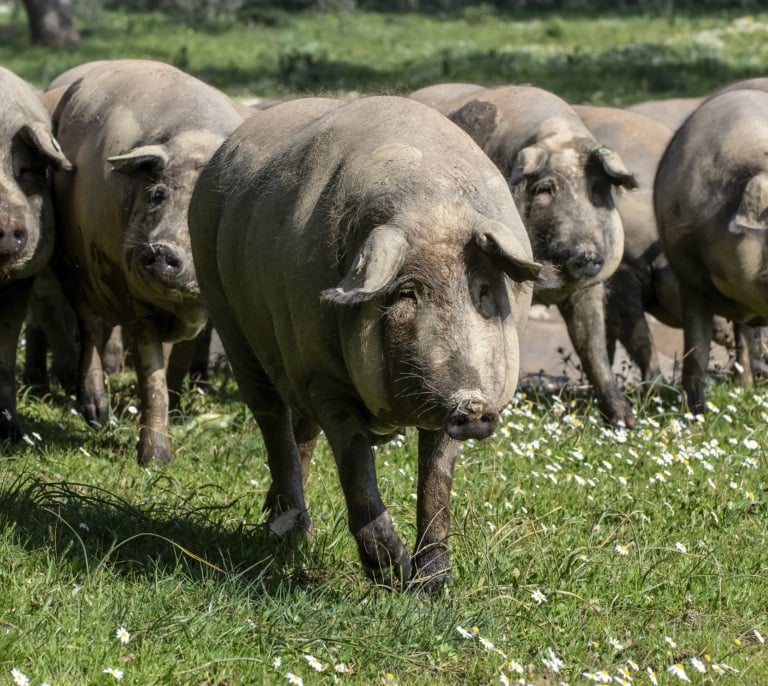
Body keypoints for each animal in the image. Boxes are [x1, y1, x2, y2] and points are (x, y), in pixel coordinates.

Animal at [44, 60, 246, 468]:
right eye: (157, 194)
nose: (161, 249)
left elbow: (172, 366)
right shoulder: (136, 303)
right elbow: (151, 381)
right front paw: (154, 462)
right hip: (72, 264)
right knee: (90, 327)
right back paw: (96, 415)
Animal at [188, 95, 544, 592]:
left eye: (482, 290)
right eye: (407, 293)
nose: (471, 405)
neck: (432, 202)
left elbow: (436, 481)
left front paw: (432, 587)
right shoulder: (326, 381)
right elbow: (356, 467)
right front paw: (393, 574)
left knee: (301, 433)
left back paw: (298, 535)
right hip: (230, 319)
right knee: (273, 423)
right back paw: (288, 530)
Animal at [412, 84, 640, 430]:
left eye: (596, 187)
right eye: (546, 188)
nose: (585, 253)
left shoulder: (588, 289)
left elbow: (593, 346)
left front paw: (625, 422)